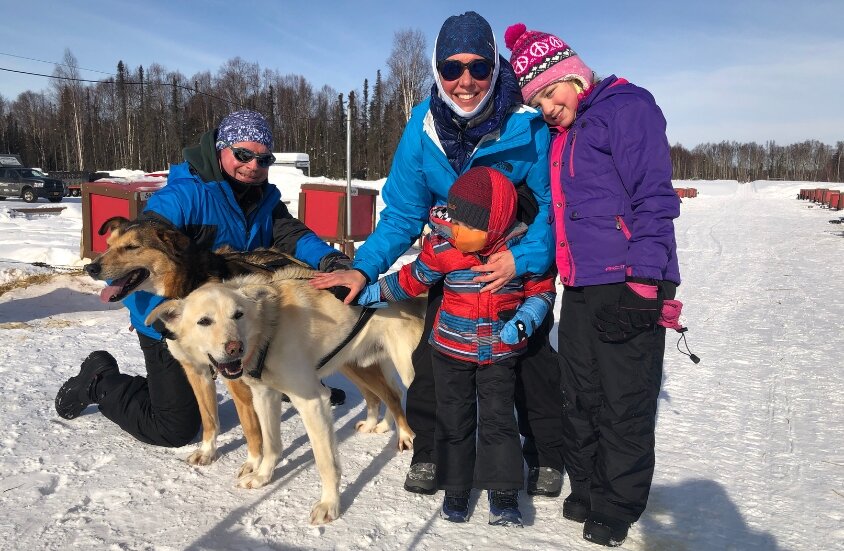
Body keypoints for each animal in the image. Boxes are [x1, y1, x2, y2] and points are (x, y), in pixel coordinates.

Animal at [85, 218, 422, 480]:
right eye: (109, 243)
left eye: (131, 247)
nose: (92, 266)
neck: (189, 283)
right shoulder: (196, 372)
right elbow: (209, 419)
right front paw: (208, 452)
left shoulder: (239, 383)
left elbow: (252, 430)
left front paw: (254, 465)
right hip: (347, 360)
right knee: (378, 394)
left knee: (391, 394)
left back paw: (404, 435)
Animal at [146, 272, 426, 528]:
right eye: (204, 321)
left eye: (238, 315)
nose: (235, 347)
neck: (269, 327)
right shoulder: (264, 396)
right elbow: (270, 444)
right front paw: (262, 477)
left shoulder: (312, 402)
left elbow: (326, 463)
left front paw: (330, 505)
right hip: (355, 363)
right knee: (388, 393)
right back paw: (381, 426)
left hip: (408, 370)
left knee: (397, 394)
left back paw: (407, 438)